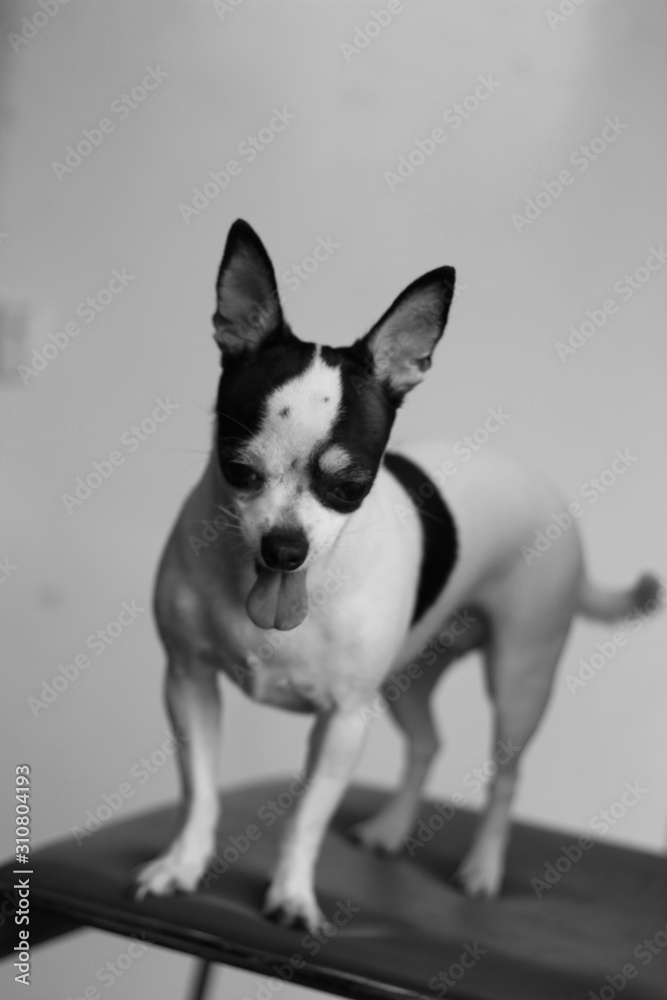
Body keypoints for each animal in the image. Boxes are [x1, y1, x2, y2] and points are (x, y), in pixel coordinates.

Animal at [134, 219, 656, 928]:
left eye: (350, 485)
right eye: (239, 470)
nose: (284, 548)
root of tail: (548, 492)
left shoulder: (343, 720)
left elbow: (305, 817)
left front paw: (292, 896)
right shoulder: (188, 683)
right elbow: (201, 791)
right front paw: (182, 865)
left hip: (520, 679)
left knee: (506, 777)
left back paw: (482, 870)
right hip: (410, 676)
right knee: (426, 744)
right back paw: (391, 829)